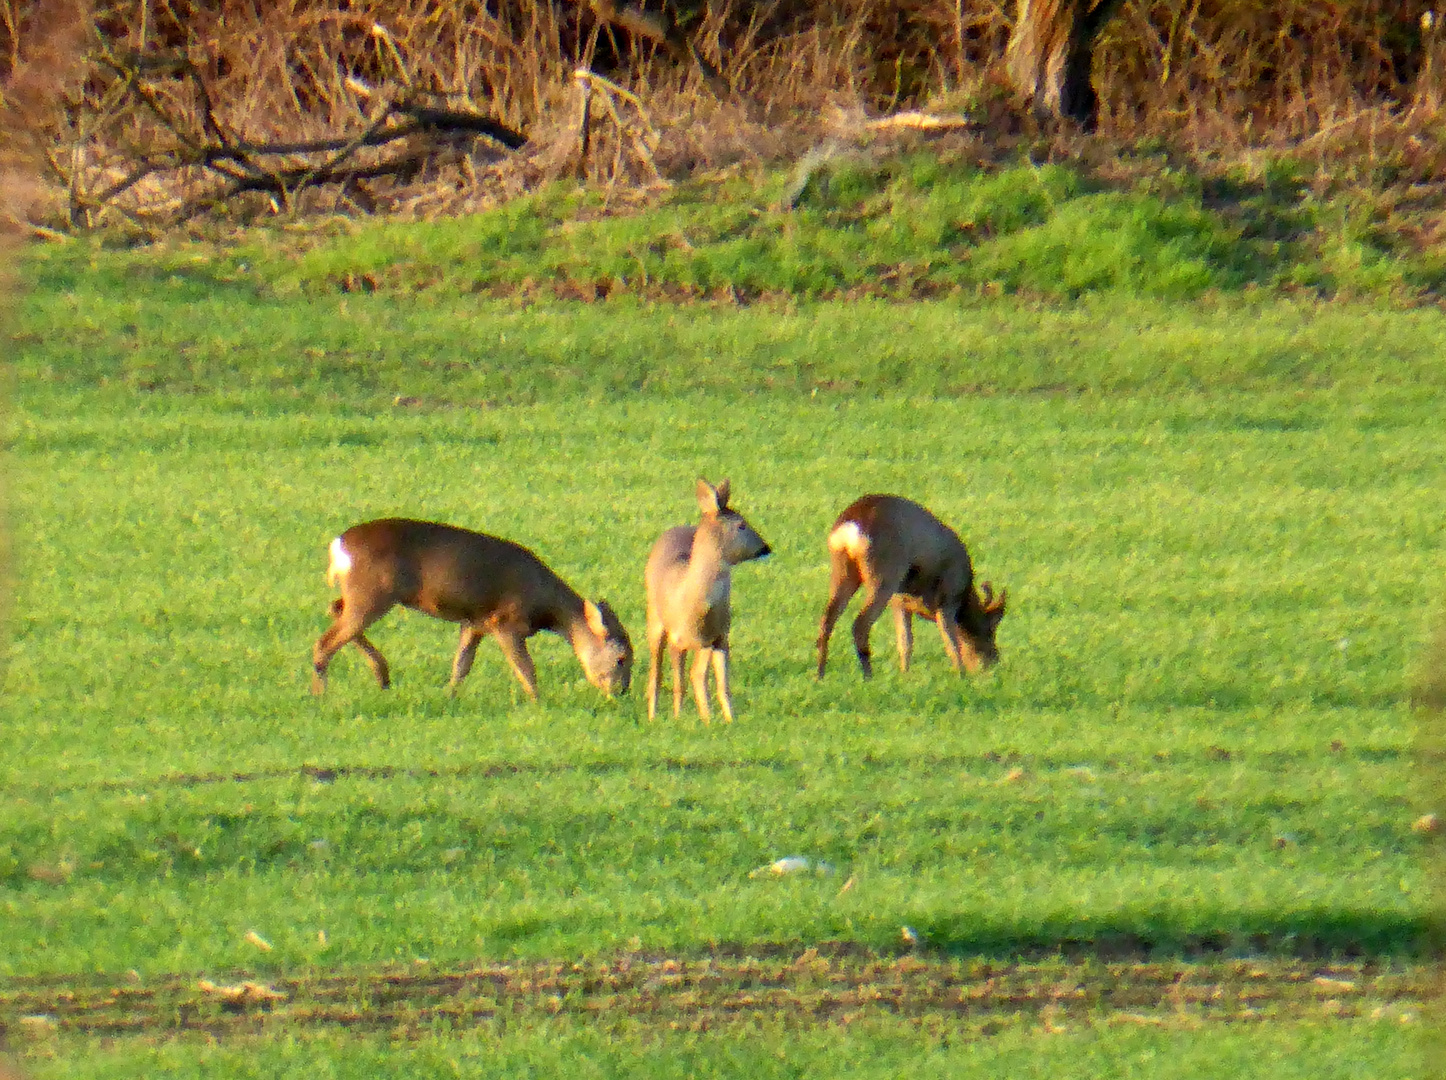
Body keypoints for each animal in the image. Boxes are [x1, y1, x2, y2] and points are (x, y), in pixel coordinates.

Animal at [310, 517, 633, 702]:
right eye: (621, 659)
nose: (622, 691)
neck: (547, 606)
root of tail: (338, 546)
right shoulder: (505, 622)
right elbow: (526, 668)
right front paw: (539, 703)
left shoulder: (475, 622)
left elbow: (461, 664)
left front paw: (449, 697)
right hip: (373, 593)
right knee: (325, 641)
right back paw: (321, 696)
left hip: (363, 594)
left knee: (334, 609)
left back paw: (382, 676)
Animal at [647, 477, 775, 722]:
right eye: (741, 525)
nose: (766, 548)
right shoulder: (680, 637)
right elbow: (683, 681)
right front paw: (686, 718)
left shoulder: (719, 636)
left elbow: (719, 682)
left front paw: (726, 719)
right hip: (654, 619)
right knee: (656, 672)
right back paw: (653, 715)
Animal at [815, 497, 1006, 679]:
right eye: (990, 631)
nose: (994, 662)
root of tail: (850, 526)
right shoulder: (947, 599)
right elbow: (951, 642)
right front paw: (961, 676)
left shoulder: (900, 601)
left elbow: (905, 642)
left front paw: (904, 675)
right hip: (883, 576)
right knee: (860, 624)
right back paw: (868, 676)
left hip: (843, 569)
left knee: (827, 619)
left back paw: (820, 675)